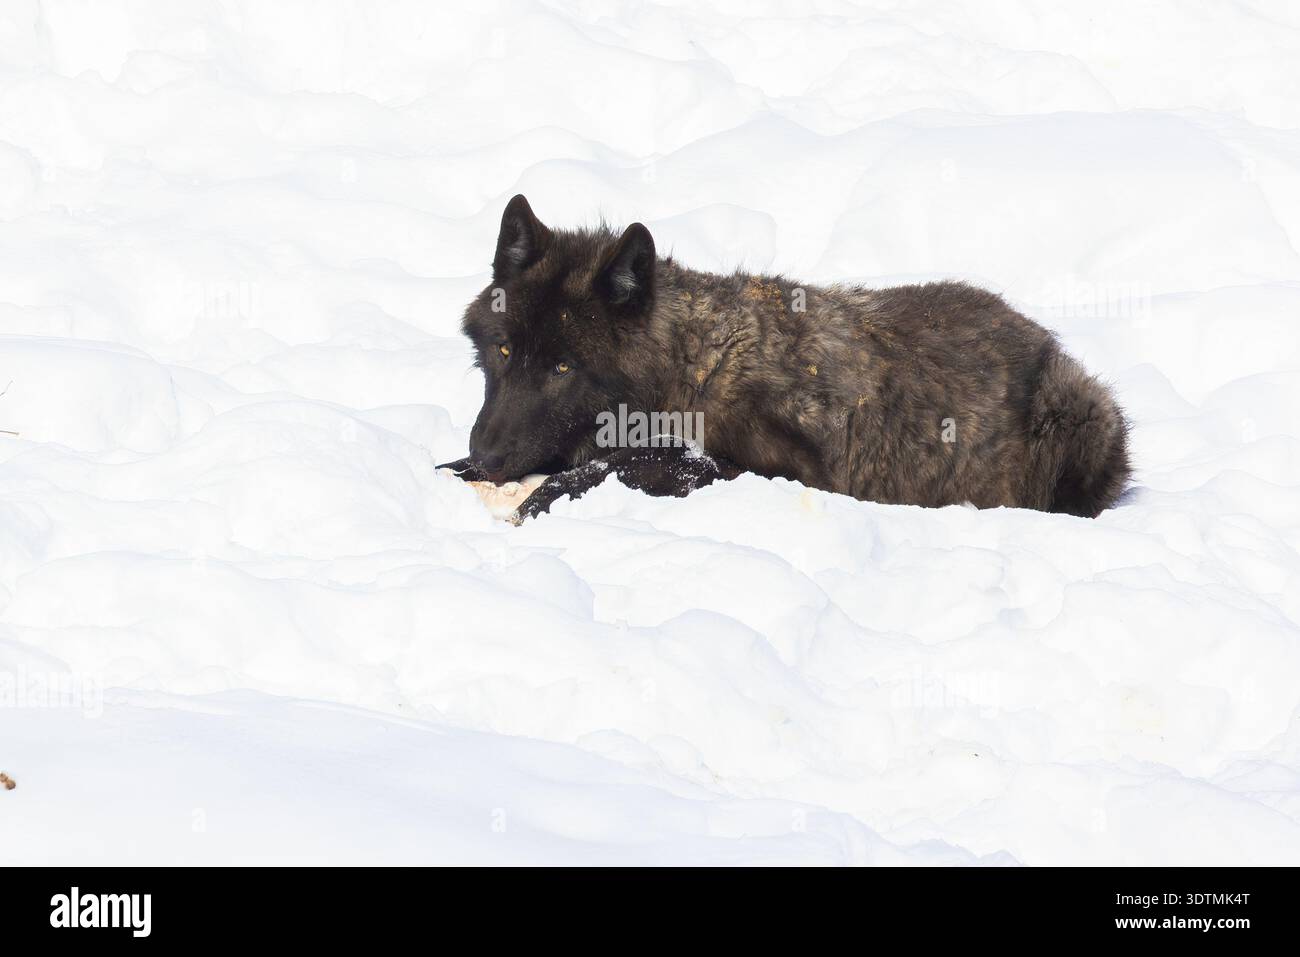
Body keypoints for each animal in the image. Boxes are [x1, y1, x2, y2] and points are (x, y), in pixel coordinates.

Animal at [439, 195, 1130, 521]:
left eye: (563, 369)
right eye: (503, 350)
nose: (489, 458)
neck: (690, 371)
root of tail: (1039, 332)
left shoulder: (784, 471)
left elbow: (625, 464)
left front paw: (541, 500)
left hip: (1080, 417)